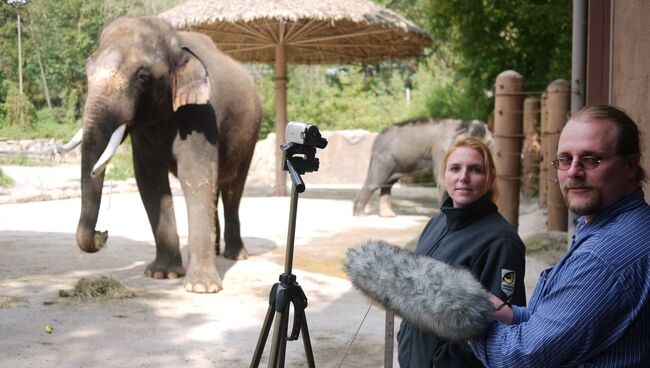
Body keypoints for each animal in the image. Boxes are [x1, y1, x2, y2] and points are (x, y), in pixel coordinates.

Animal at [62, 16, 260, 294]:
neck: (175, 41)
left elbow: (195, 176)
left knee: (233, 187)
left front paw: (201, 288)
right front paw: (162, 275)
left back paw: (235, 255)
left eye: (143, 77)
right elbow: (150, 181)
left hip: (250, 133)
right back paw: (217, 252)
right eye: (87, 70)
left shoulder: (202, 114)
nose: (103, 234)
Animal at [352, 117, 488, 216]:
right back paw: (360, 214)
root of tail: (376, 140)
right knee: (375, 182)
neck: (464, 122)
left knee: (388, 184)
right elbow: (441, 178)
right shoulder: (441, 148)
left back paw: (388, 215)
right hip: (384, 159)